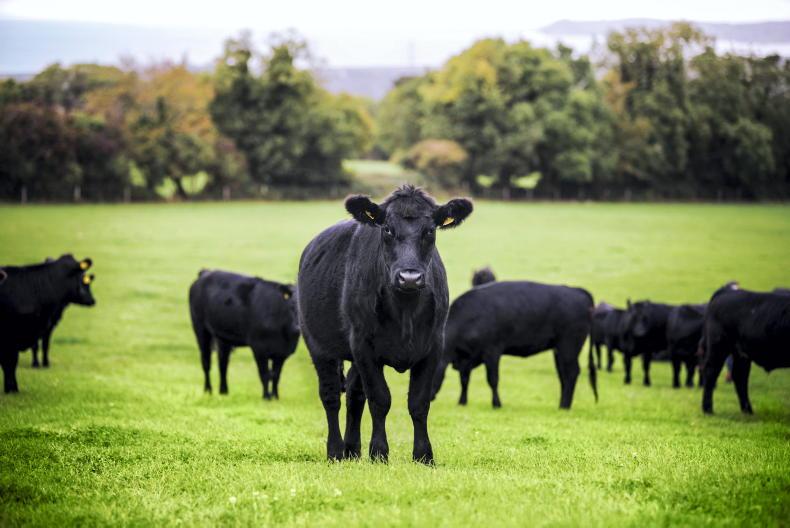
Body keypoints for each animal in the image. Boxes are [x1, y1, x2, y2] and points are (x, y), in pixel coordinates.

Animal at [0, 255, 96, 393]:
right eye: (83, 280)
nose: (93, 300)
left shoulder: (45, 326)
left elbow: (43, 345)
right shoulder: (13, 335)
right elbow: (11, 361)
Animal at [188, 269, 299, 400]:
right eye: (292, 306)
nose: (298, 327)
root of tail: (206, 272)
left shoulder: (282, 353)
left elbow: (276, 375)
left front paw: (275, 397)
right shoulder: (259, 348)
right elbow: (265, 374)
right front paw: (266, 397)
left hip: (223, 338)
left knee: (223, 364)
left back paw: (224, 391)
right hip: (201, 329)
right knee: (206, 362)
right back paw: (208, 390)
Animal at [297, 185, 473, 464]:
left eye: (430, 230)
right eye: (387, 229)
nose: (409, 277)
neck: (405, 313)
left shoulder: (434, 346)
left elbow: (419, 402)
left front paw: (423, 455)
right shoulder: (363, 345)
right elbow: (380, 399)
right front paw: (379, 452)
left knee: (354, 394)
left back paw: (352, 450)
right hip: (317, 344)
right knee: (331, 395)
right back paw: (336, 451)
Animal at [432, 280, 598, 409]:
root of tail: (577, 291)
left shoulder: (492, 351)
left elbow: (492, 379)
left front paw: (497, 404)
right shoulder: (466, 358)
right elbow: (464, 380)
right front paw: (462, 402)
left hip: (569, 346)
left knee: (571, 373)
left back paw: (564, 406)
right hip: (559, 349)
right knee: (563, 374)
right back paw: (563, 403)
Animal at [701, 285, 790, 414]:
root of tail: (725, 291)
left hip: (740, 353)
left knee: (739, 376)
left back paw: (747, 410)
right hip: (718, 346)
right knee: (711, 372)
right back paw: (708, 409)